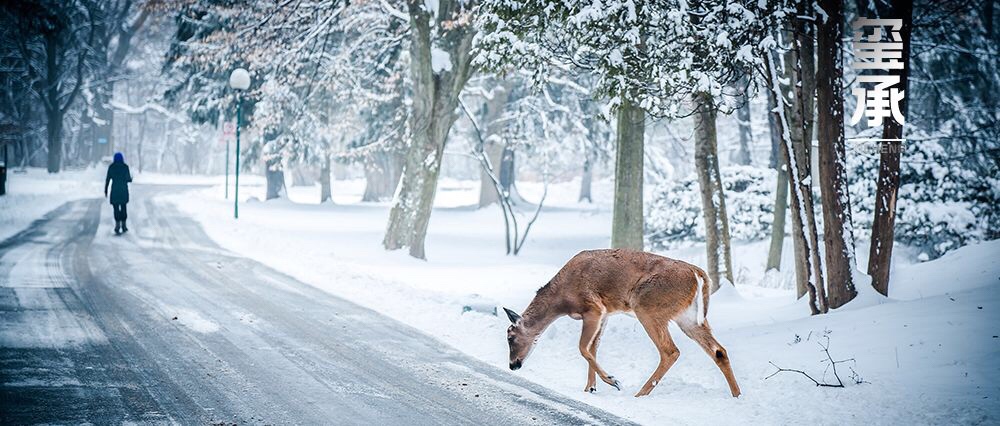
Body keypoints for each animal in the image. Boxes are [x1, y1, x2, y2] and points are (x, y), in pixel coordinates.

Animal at [504, 248, 740, 398]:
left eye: (510, 337)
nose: (512, 365)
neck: (561, 300)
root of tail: (698, 274)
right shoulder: (606, 313)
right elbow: (593, 348)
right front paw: (590, 388)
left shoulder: (593, 307)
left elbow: (583, 348)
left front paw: (613, 380)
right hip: (688, 317)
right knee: (719, 351)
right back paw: (737, 395)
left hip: (647, 306)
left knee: (670, 351)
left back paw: (640, 393)